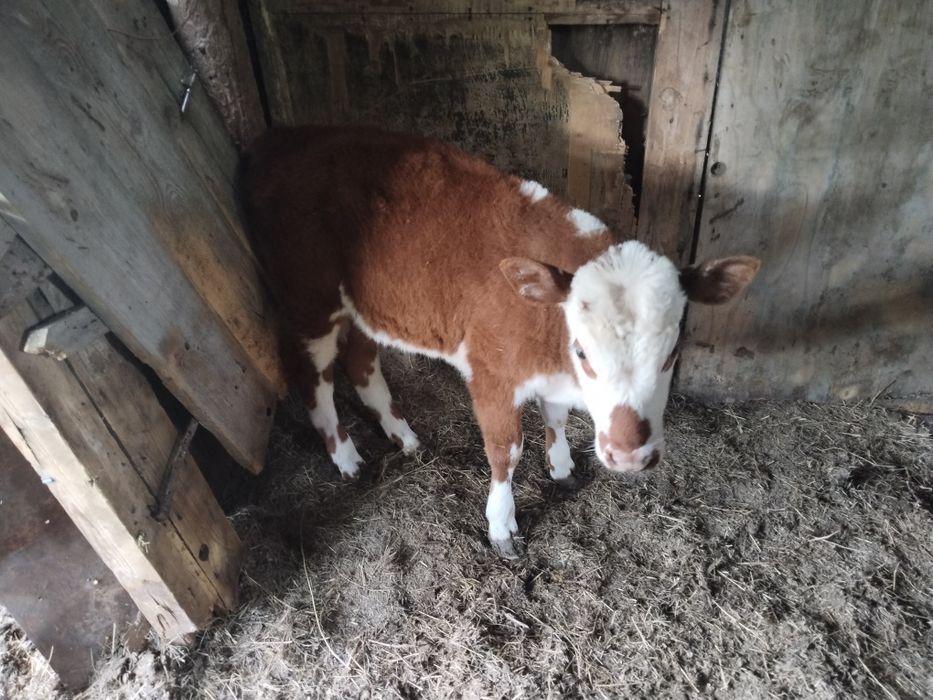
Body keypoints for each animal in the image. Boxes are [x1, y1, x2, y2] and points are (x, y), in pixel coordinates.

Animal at [240, 126, 760, 559]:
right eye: (583, 351)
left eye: (672, 353)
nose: (629, 455)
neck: (552, 342)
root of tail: (280, 139)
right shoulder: (490, 373)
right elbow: (506, 451)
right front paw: (501, 526)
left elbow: (555, 417)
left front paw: (562, 469)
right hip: (309, 301)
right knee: (315, 380)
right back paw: (347, 458)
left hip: (363, 306)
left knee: (362, 359)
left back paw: (403, 436)